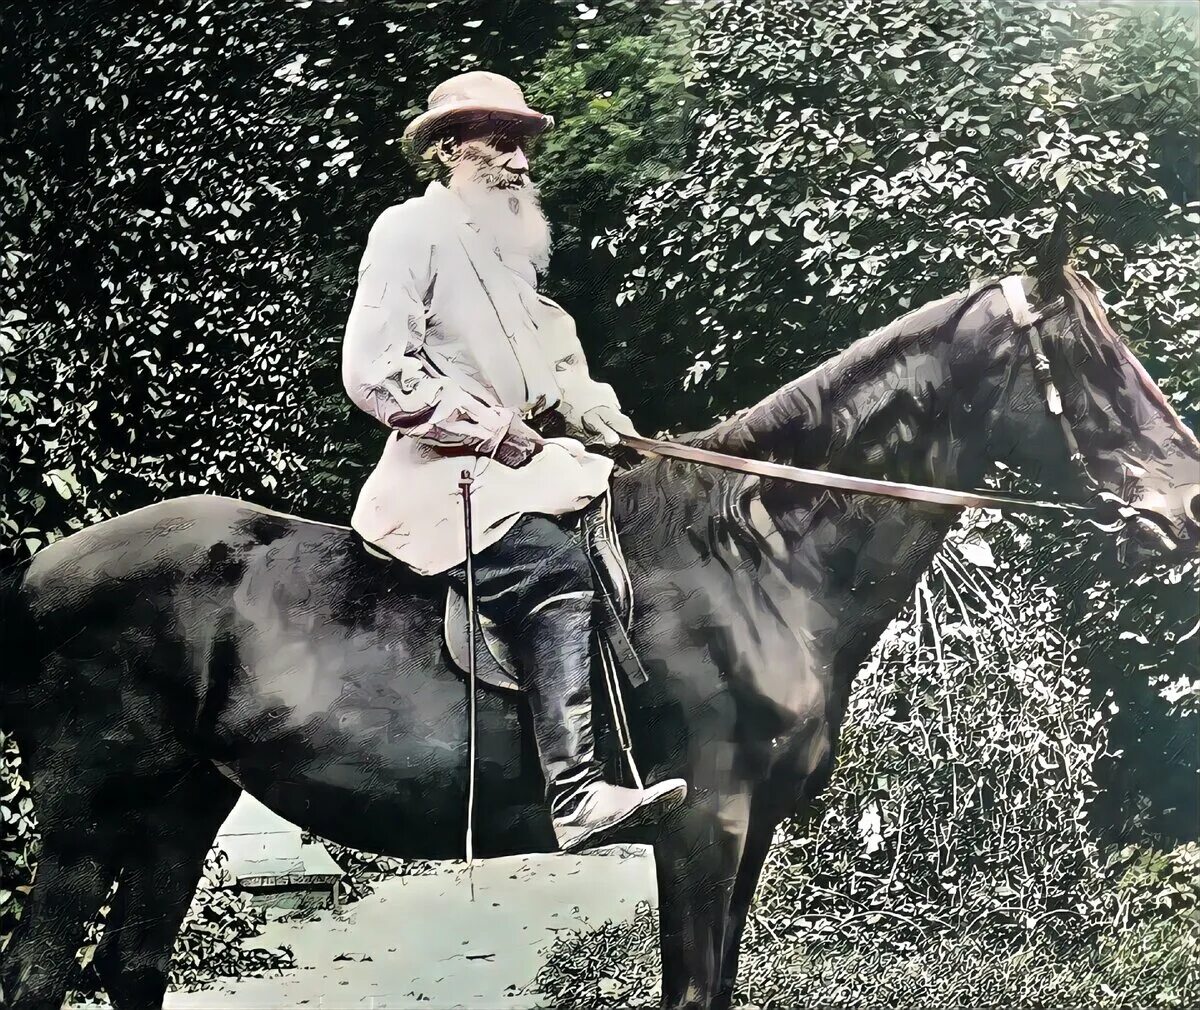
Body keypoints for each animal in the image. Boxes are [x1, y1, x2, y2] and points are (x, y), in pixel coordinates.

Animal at [2, 269, 1200, 1007]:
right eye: (1090, 364)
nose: (1187, 508)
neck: (756, 557)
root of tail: (38, 570)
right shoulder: (705, 822)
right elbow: (690, 986)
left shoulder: (749, 832)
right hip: (82, 818)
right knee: (39, 969)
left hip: (181, 802)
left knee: (132, 961)